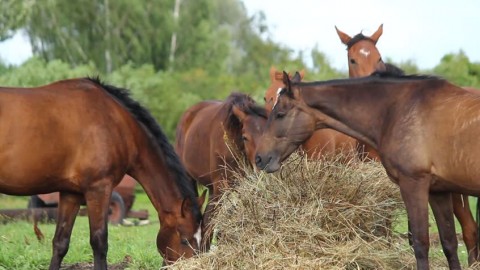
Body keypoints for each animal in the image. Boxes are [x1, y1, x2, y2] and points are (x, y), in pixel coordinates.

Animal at [0, 77, 204, 268]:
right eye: (185, 239)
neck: (117, 123)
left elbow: (60, 243)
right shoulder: (98, 189)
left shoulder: (71, 193)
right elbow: (99, 242)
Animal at [255, 70, 480, 268]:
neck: (398, 110)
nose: (260, 158)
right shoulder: (438, 191)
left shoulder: (414, 185)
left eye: (280, 114)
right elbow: (449, 243)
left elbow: (420, 244)